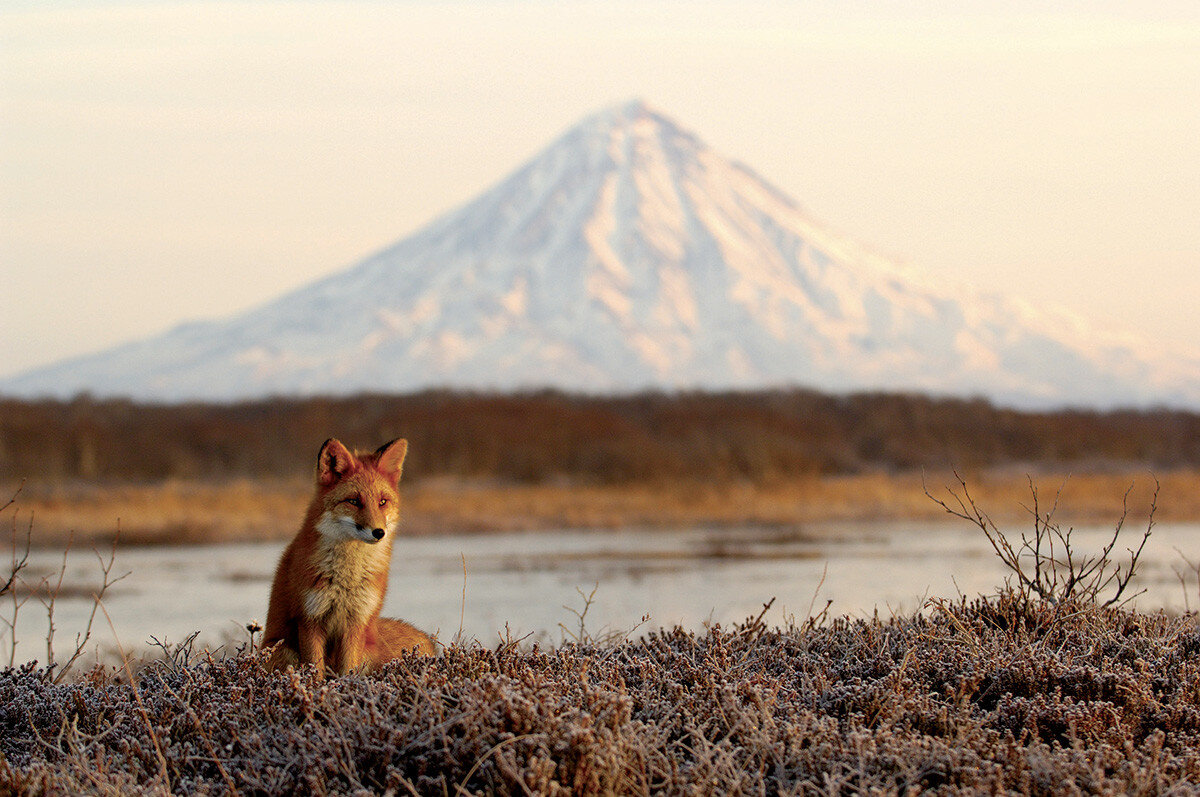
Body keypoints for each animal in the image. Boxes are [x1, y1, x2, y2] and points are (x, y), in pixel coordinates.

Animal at [264, 439, 436, 676]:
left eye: (382, 502)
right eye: (354, 501)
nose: (379, 532)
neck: (347, 578)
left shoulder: (356, 622)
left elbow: (348, 672)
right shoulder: (309, 620)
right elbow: (316, 673)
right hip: (283, 651)